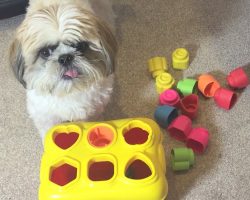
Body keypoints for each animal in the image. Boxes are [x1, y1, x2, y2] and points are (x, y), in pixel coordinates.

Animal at [8, 0, 117, 141]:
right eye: (45, 52)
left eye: (80, 46)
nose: (65, 57)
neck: (68, 90)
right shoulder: (46, 117)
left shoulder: (94, 111)